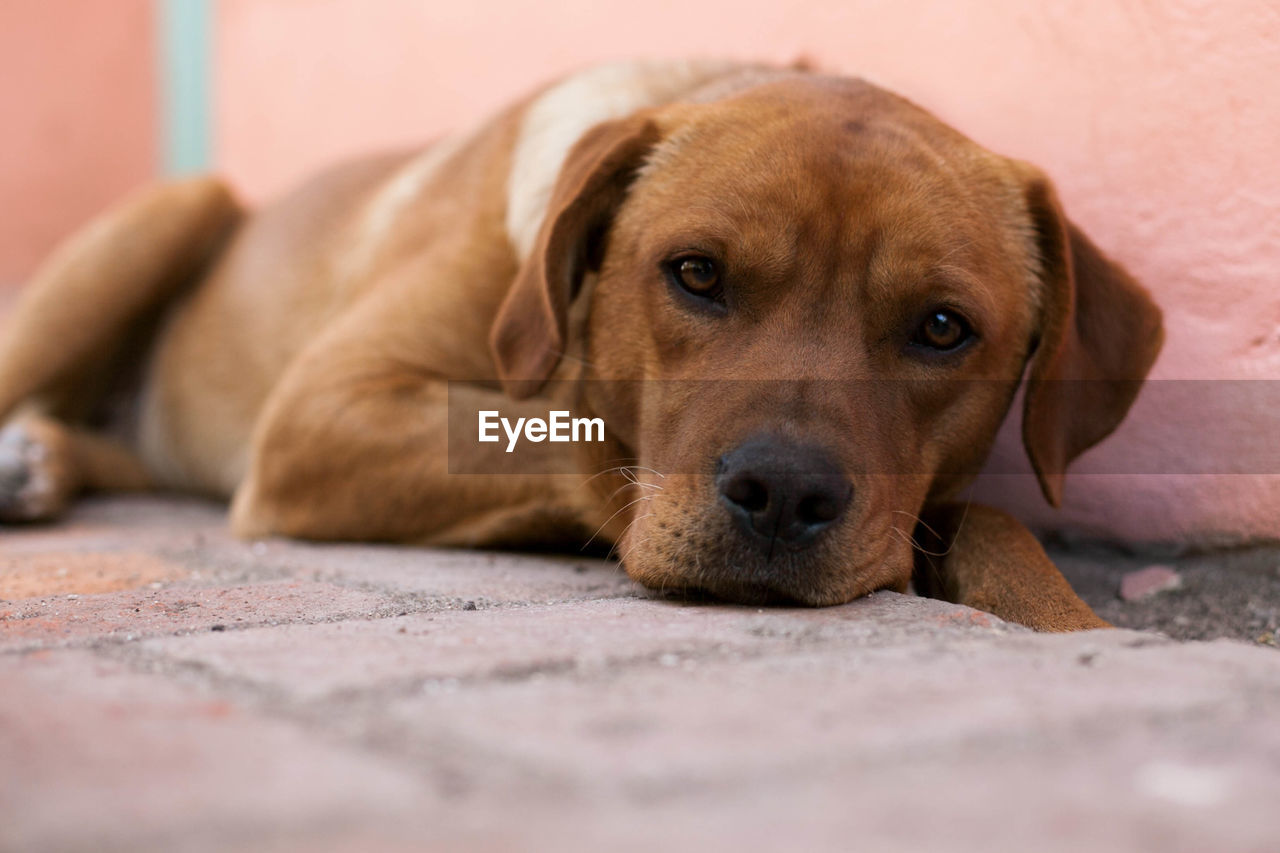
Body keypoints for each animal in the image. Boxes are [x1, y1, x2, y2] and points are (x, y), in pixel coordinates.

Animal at [0, 59, 1162, 627]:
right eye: (696, 273)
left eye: (940, 328)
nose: (784, 493)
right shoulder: (327, 406)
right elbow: (580, 443)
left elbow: (989, 525)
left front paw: (1065, 618)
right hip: (171, 208)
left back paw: (44, 458)